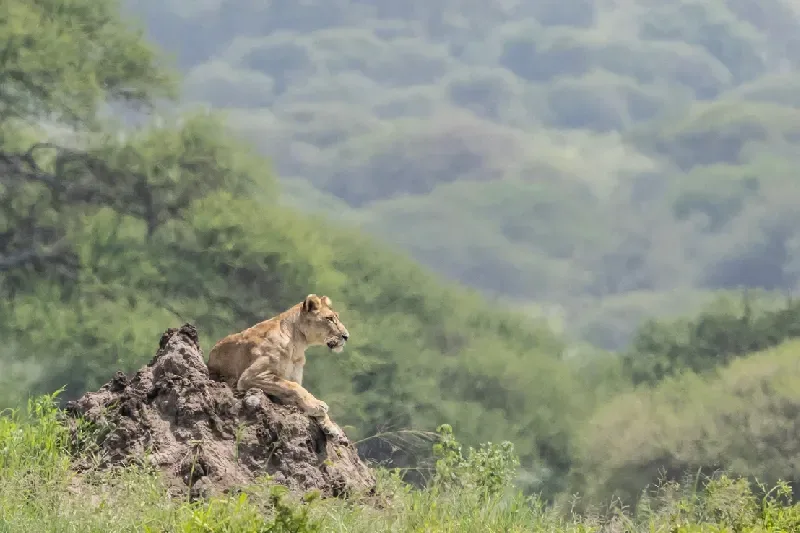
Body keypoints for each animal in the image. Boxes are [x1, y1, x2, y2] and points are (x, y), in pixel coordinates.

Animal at [207, 294, 350, 441]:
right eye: (330, 319)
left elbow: (295, 390)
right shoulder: (251, 376)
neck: (298, 346)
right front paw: (317, 405)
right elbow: (295, 387)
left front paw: (330, 427)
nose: (346, 336)